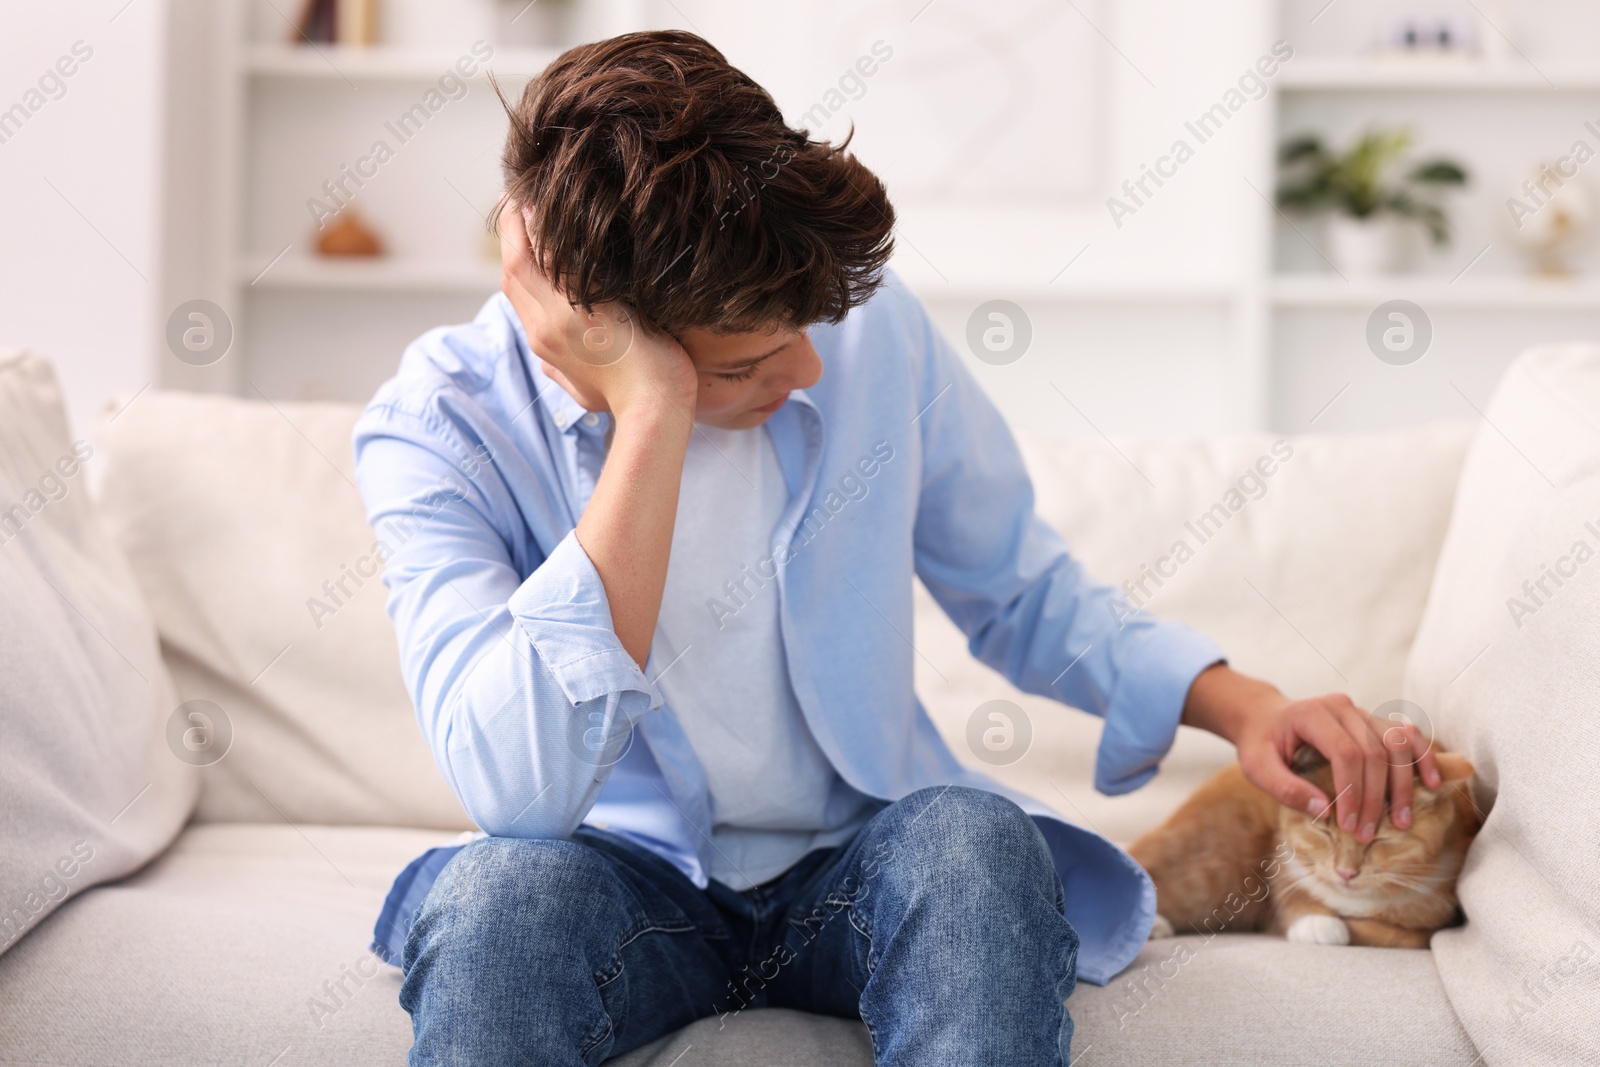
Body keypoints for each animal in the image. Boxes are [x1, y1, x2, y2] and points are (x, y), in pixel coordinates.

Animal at [1126, 748, 1484, 947]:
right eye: (1325, 831)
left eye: (1380, 839)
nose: (1346, 872)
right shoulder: (1281, 864)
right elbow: (1294, 894)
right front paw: (1316, 922)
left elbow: (1403, 934)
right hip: (1213, 868)